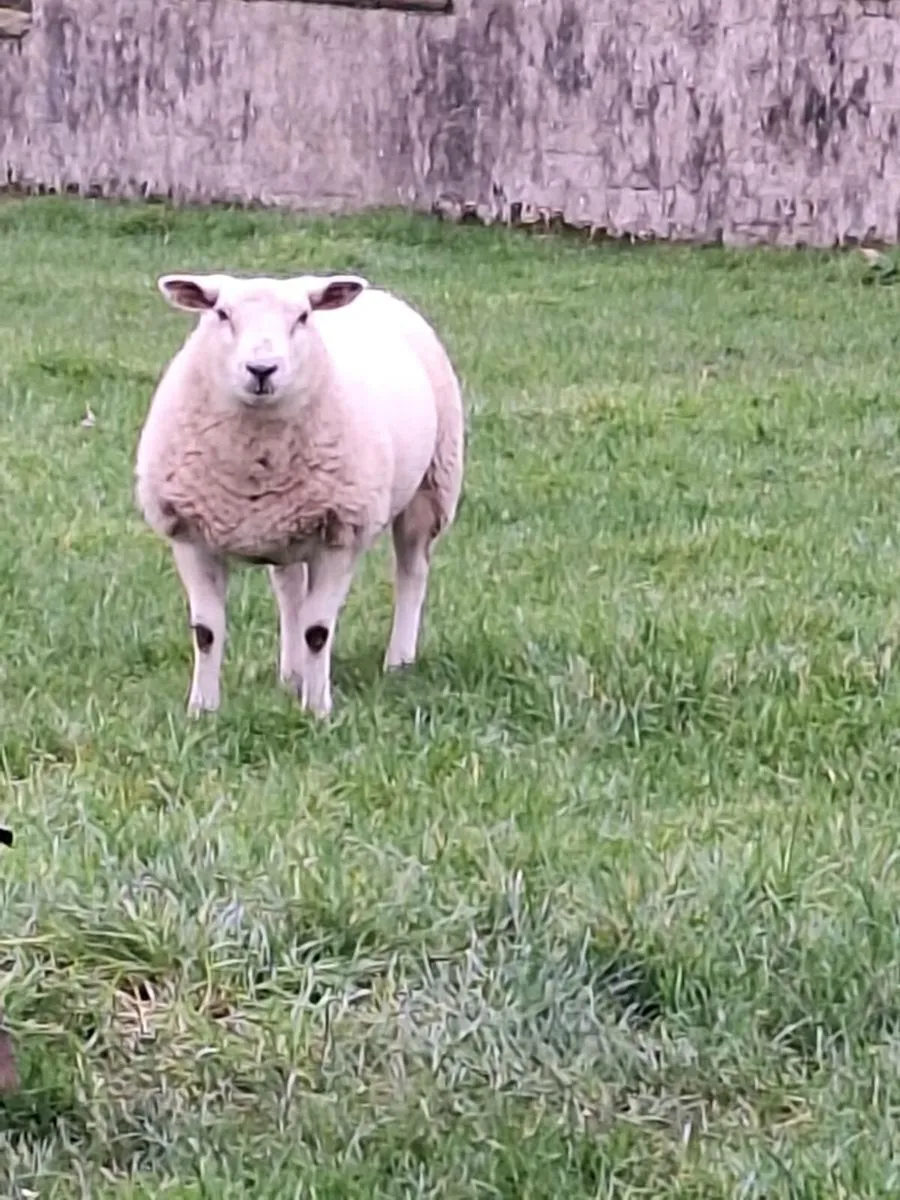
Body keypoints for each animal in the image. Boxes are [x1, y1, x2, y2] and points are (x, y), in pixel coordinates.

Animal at [135, 271, 464, 718]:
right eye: (221, 314)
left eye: (303, 317)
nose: (262, 369)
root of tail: (377, 295)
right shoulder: (188, 533)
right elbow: (206, 632)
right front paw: (202, 710)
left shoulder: (342, 534)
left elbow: (318, 631)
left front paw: (318, 710)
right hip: (285, 526)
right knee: (290, 591)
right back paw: (291, 674)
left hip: (432, 485)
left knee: (411, 571)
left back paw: (398, 661)